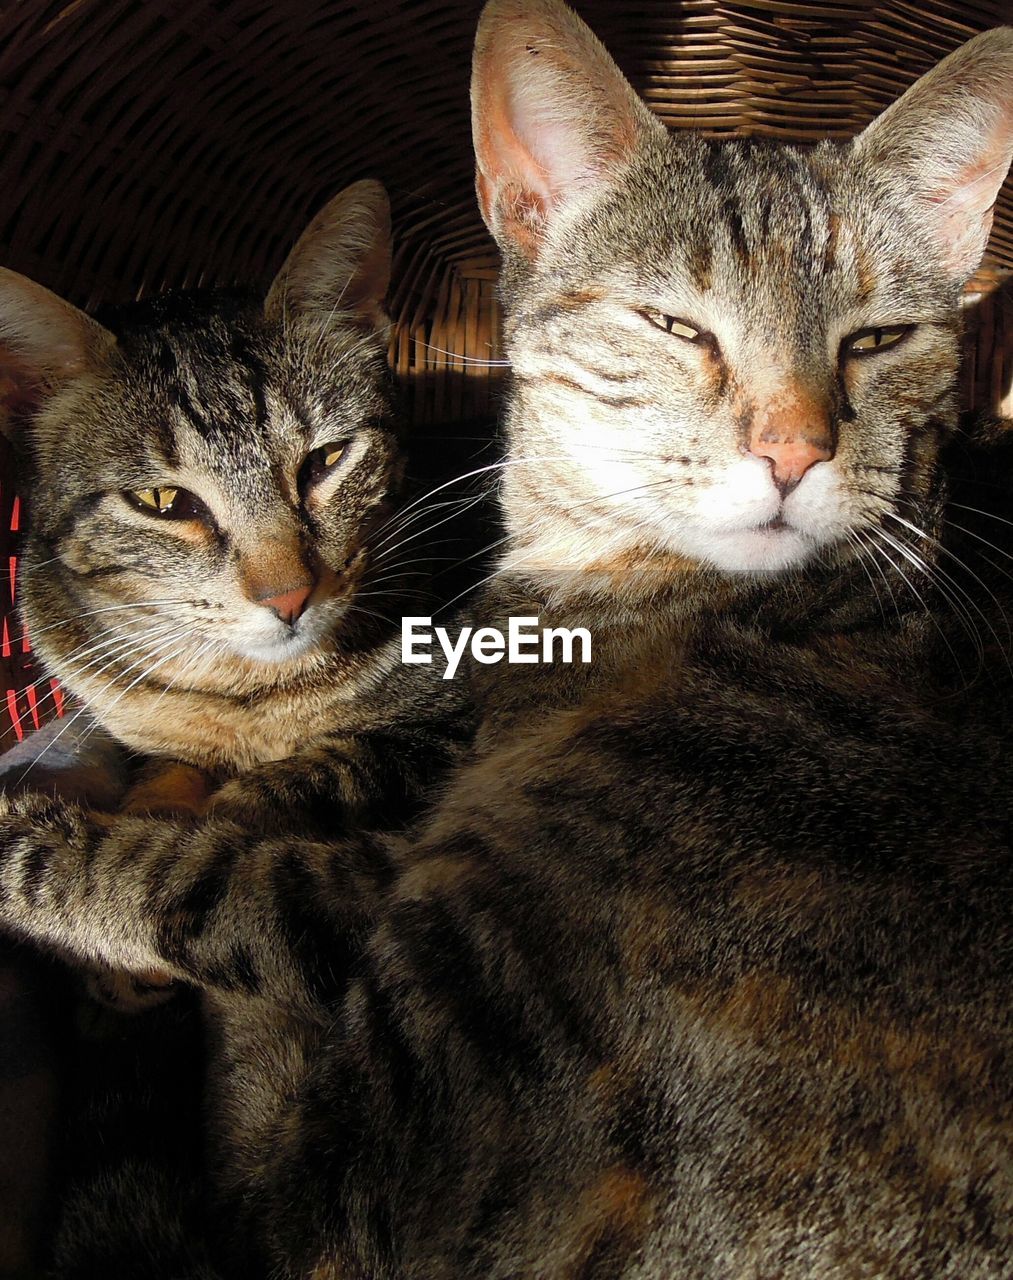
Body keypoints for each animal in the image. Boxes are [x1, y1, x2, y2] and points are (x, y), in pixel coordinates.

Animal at [1, 5, 1013, 1274]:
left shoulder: (382, 879)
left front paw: (47, 844)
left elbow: (207, 874)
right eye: (674, 326)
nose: (793, 449)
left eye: (877, 340)